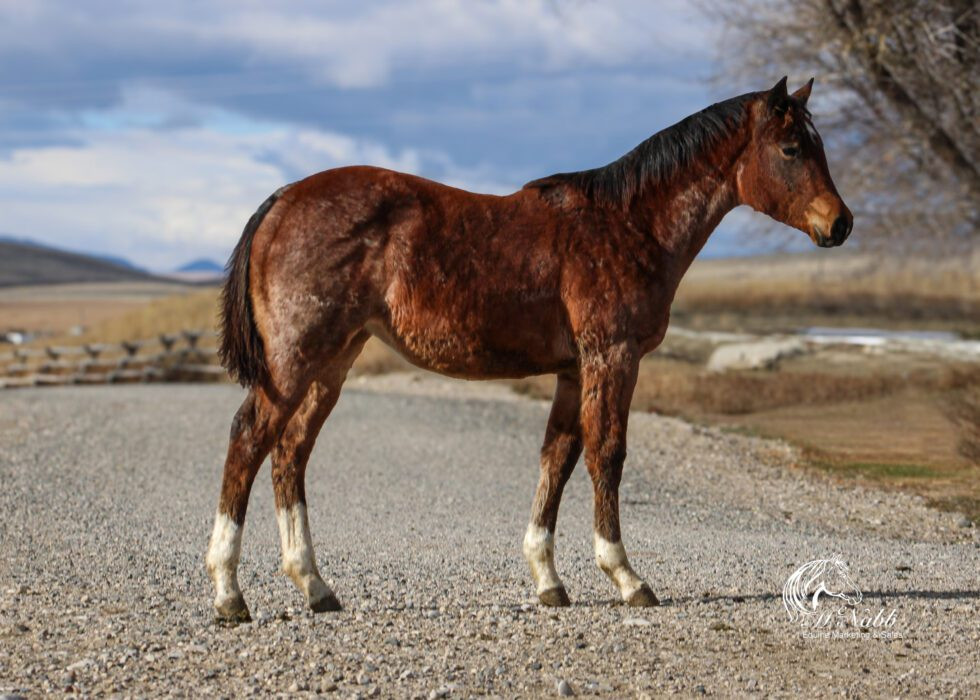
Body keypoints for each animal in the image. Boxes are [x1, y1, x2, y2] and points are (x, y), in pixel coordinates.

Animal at [205, 77, 853, 621]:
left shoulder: (573, 372)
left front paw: (548, 580)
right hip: (296, 361)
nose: (840, 224)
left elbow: (557, 460)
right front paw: (626, 577)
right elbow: (607, 456)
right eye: (792, 149)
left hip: (333, 362)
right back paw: (229, 592)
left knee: (289, 453)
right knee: (248, 440)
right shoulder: (612, 359)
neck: (628, 225)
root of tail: (284, 200)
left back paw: (314, 585)